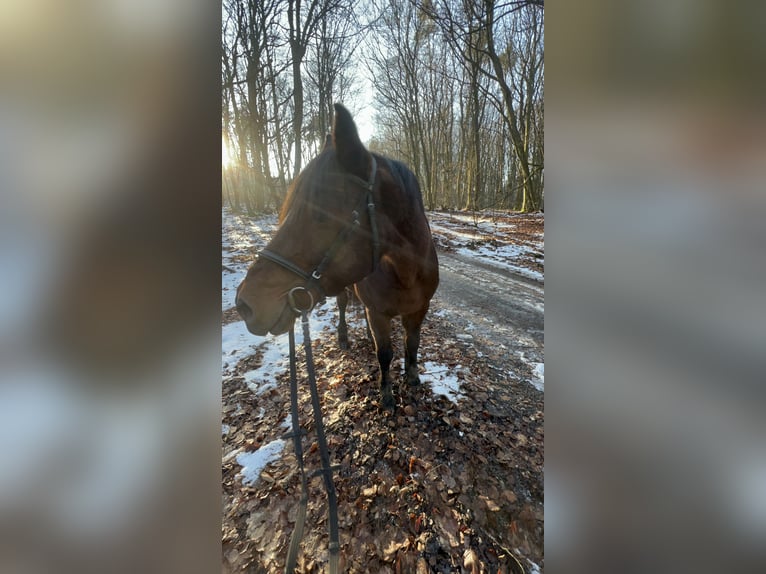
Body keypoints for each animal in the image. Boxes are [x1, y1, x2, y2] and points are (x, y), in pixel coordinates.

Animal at [234, 103, 440, 410]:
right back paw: (344, 337)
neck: (406, 273)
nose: (245, 304)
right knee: (343, 305)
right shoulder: (378, 313)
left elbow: (412, 343)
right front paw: (387, 394)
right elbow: (385, 353)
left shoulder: (419, 308)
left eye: (320, 215)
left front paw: (412, 377)